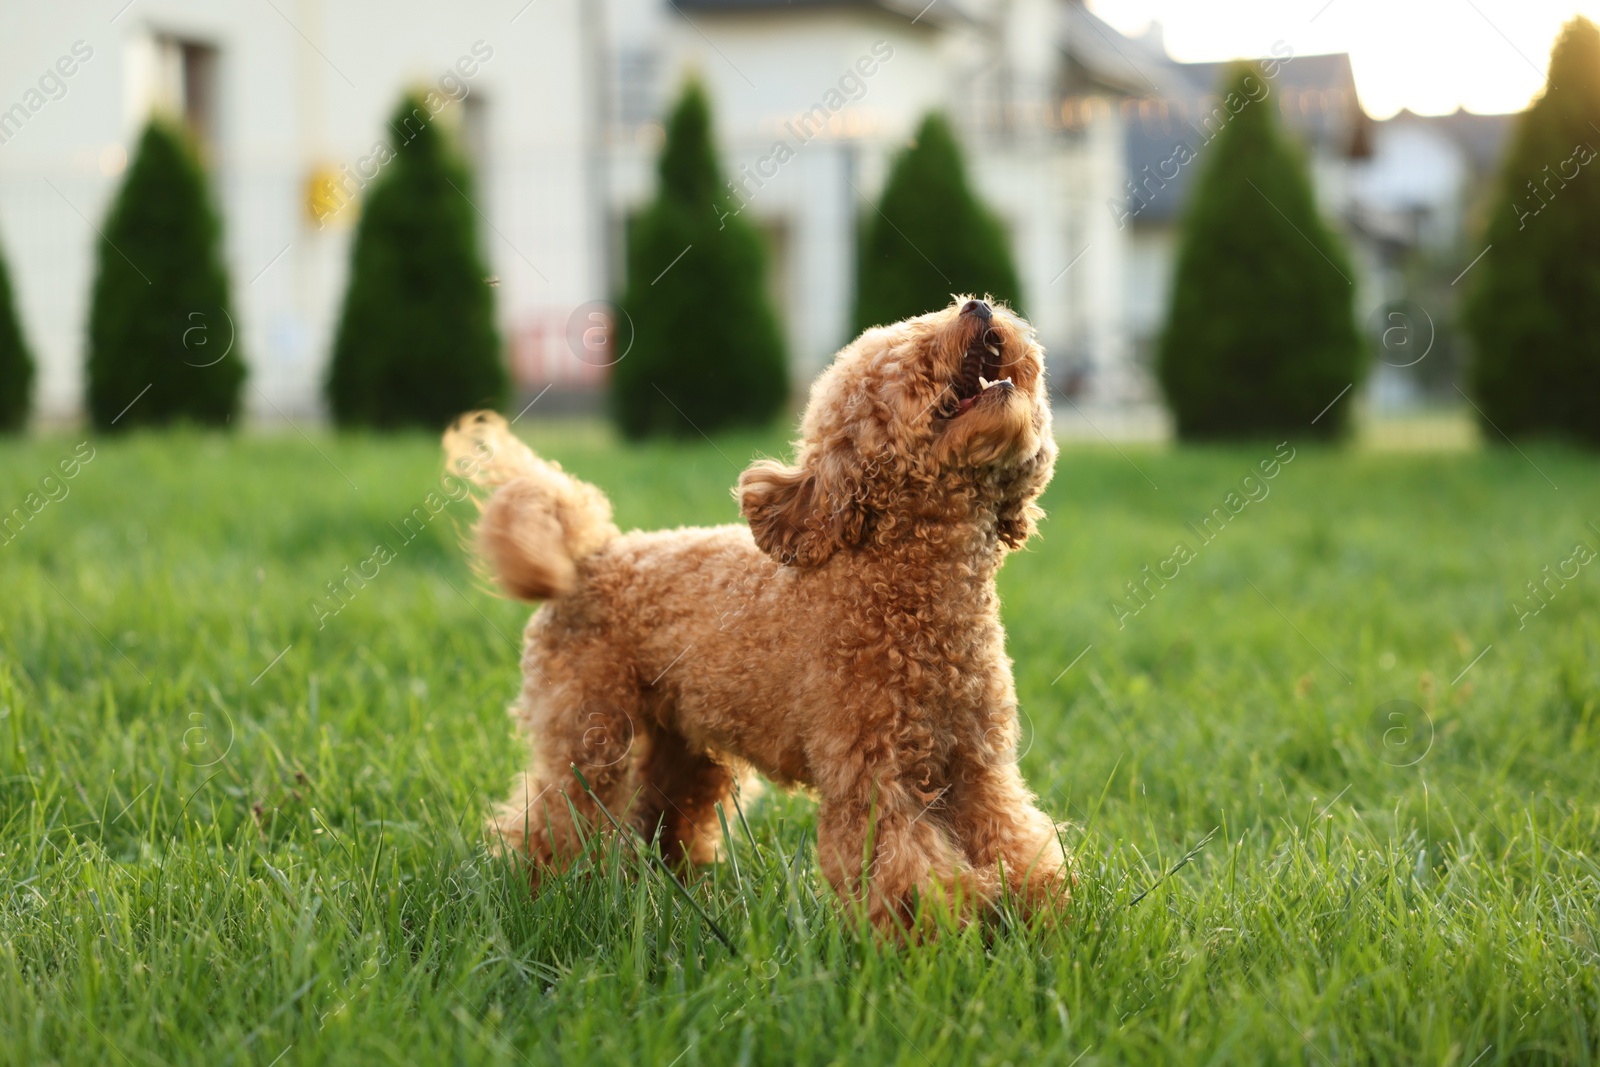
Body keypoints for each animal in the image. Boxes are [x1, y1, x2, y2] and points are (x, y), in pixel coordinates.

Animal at [451, 295, 1068, 927]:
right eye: (913, 356)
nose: (979, 306)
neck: (904, 594)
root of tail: (587, 557)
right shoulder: (871, 774)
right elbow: (903, 870)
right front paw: (943, 926)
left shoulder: (977, 766)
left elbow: (1016, 842)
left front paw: (1032, 915)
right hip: (590, 724)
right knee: (558, 811)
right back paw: (544, 892)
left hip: (679, 736)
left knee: (664, 808)